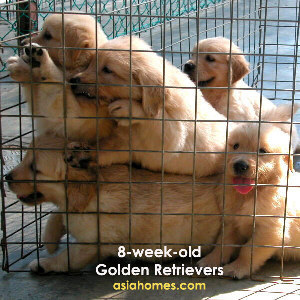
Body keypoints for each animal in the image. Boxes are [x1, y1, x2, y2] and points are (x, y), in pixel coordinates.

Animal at [68, 35, 227, 177]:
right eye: (90, 64)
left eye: (107, 69)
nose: (73, 80)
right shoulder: (127, 142)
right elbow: (110, 147)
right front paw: (83, 154)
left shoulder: (174, 136)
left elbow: (159, 123)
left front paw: (128, 109)